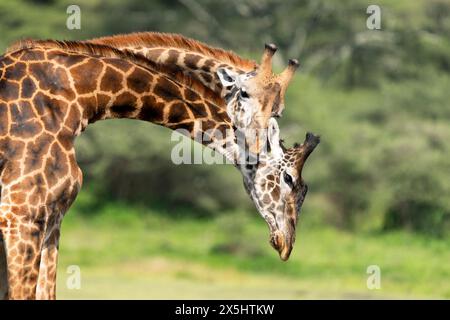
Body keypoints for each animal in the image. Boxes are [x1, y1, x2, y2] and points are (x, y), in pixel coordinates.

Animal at [0, 38, 318, 298]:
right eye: (288, 178)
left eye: (278, 109)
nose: (287, 242)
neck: (79, 97)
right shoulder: (21, 215)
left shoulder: (51, 221)